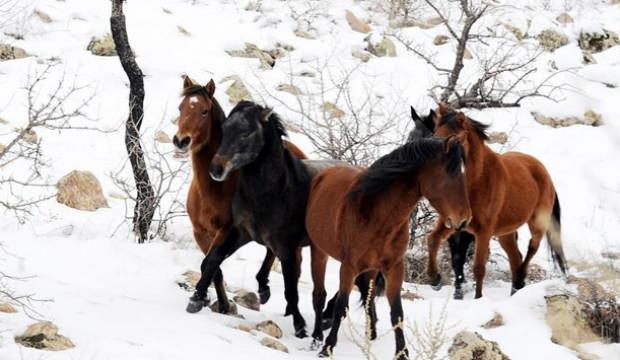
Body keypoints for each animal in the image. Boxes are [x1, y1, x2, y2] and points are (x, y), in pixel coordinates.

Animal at [172, 76, 308, 312]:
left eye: (204, 111)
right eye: (181, 107)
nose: (181, 140)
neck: (215, 187)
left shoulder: (227, 230)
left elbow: (209, 263)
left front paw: (207, 300)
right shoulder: (201, 232)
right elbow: (214, 268)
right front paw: (218, 303)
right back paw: (263, 288)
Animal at [190, 100, 312, 338]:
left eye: (246, 133)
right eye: (224, 129)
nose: (216, 169)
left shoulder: (286, 245)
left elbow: (291, 288)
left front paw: (301, 327)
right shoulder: (240, 232)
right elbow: (213, 259)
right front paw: (196, 299)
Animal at [306, 135, 470, 358]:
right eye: (450, 174)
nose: (464, 220)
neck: (377, 214)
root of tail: (324, 173)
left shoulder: (394, 267)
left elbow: (397, 312)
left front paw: (402, 352)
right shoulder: (348, 267)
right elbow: (341, 306)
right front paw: (327, 347)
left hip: (371, 268)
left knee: (368, 295)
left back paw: (371, 332)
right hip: (319, 252)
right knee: (319, 295)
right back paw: (316, 337)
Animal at [426, 103, 568, 298]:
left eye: (454, 136)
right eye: (435, 132)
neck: (477, 181)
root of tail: (543, 171)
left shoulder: (483, 231)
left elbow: (479, 267)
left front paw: (478, 298)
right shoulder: (452, 222)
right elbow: (433, 240)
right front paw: (435, 280)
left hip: (537, 223)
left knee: (532, 248)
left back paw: (520, 280)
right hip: (505, 233)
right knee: (515, 258)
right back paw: (515, 290)